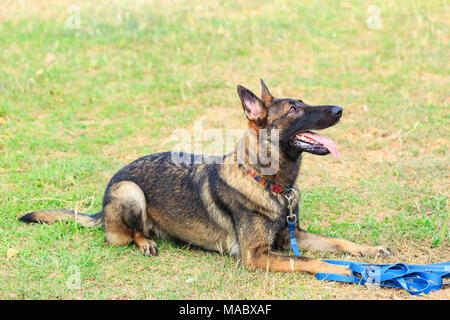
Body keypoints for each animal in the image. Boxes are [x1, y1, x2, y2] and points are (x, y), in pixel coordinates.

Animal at [20, 79, 394, 276]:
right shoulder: (257, 256)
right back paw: (145, 242)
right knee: (127, 235)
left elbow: (337, 242)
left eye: (303, 102)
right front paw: (345, 269)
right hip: (129, 192)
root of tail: (101, 209)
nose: (339, 110)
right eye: (294, 110)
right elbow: (310, 259)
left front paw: (369, 250)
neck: (267, 183)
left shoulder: (292, 235)